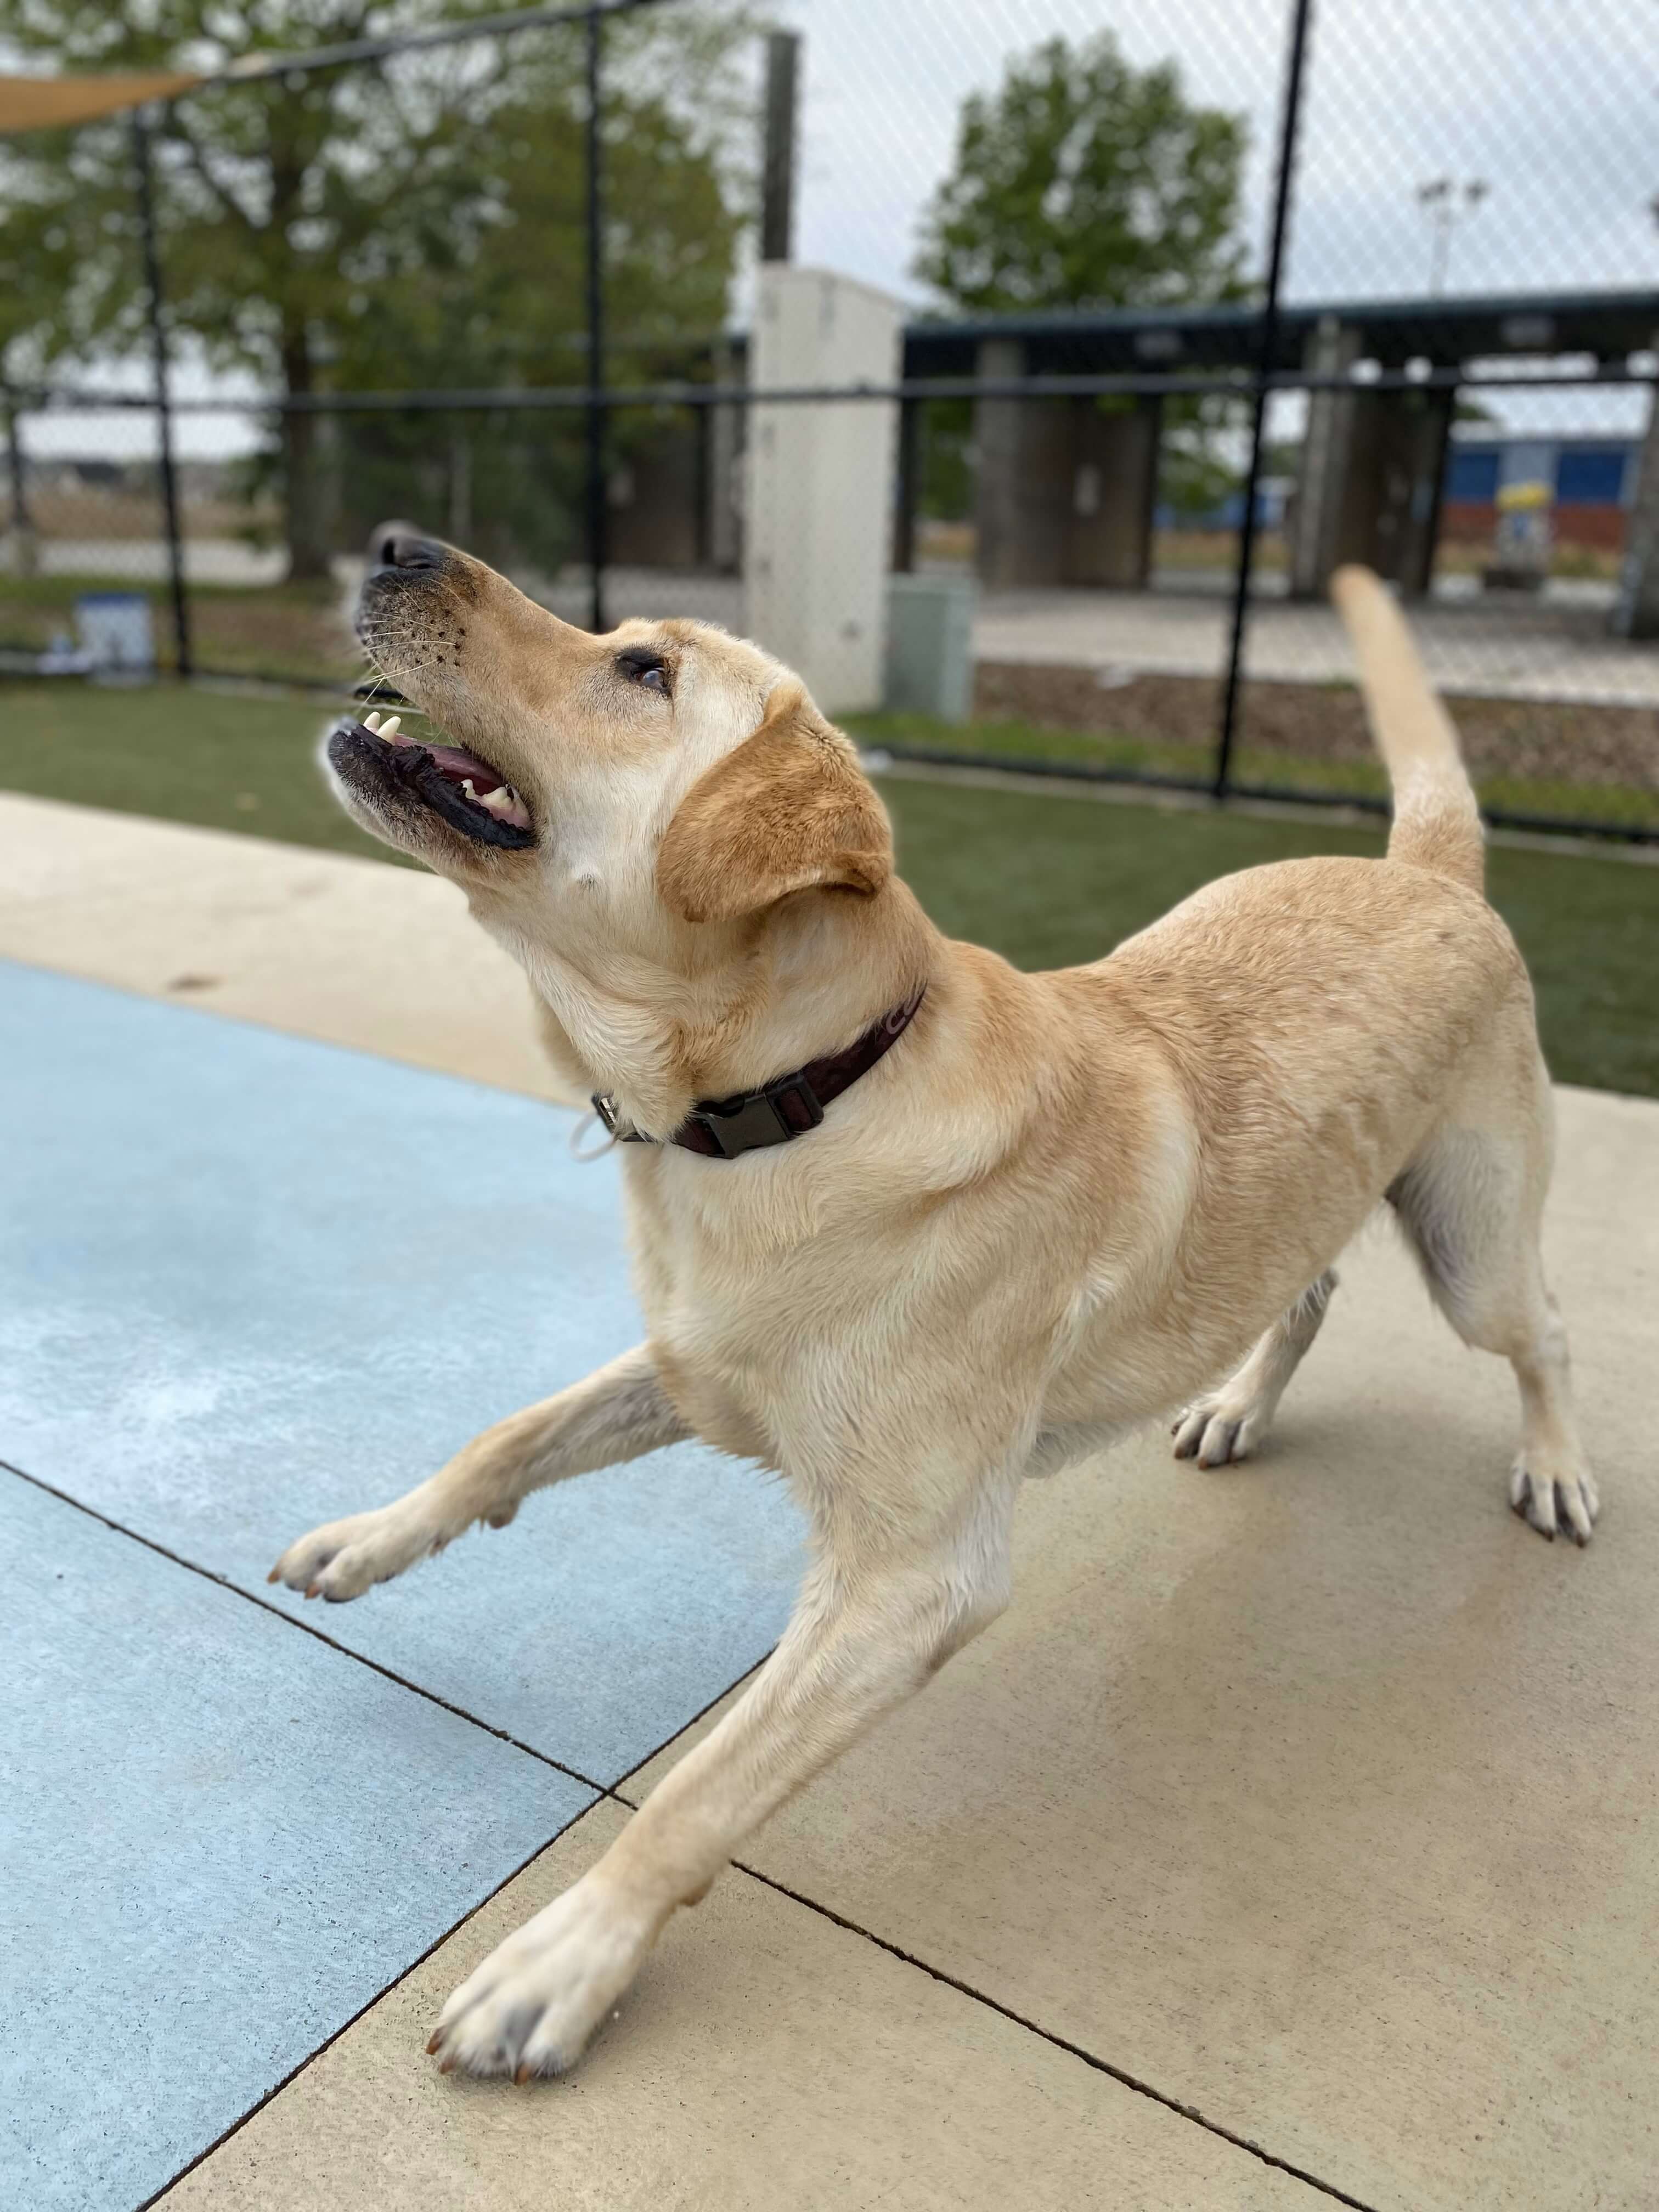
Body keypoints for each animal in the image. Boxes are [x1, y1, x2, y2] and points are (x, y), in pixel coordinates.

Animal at [269, 531, 1601, 2070]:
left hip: (1473, 1244)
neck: (810, 1095)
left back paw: (1556, 1467)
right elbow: (506, 1437)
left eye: (644, 669)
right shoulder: (695, 1367)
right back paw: (1236, 1406)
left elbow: (702, 1789)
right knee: (1308, 1288)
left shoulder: (910, 1584)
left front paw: (564, 1961)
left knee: (1543, 1332)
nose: (392, 545)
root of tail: (1426, 870)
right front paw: (369, 1539)